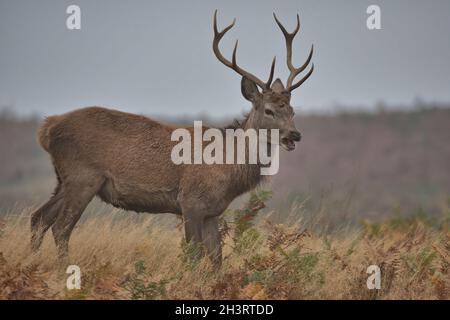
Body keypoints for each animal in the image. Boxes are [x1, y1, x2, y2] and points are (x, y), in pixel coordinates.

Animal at [30, 10, 312, 264]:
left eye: (292, 110)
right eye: (269, 110)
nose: (295, 134)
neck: (227, 167)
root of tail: (47, 128)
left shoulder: (212, 211)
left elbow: (217, 258)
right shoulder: (190, 201)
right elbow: (194, 254)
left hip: (64, 179)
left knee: (38, 218)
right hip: (83, 176)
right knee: (61, 228)